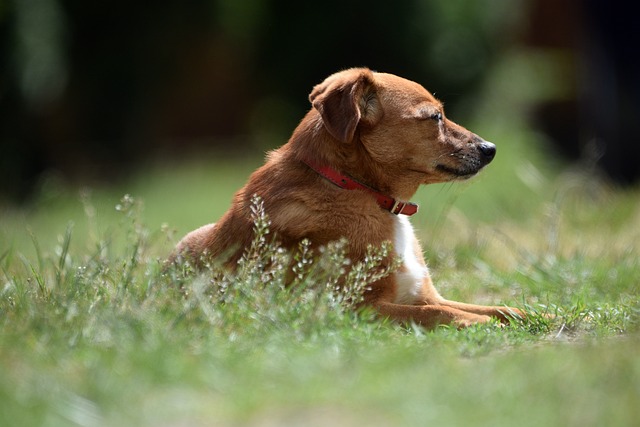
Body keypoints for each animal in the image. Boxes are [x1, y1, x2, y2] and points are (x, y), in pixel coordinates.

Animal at [172, 67, 524, 330]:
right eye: (434, 117)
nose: (491, 149)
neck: (358, 190)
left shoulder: (423, 294)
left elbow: (501, 308)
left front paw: (532, 315)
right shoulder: (355, 307)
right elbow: (441, 313)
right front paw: (484, 325)